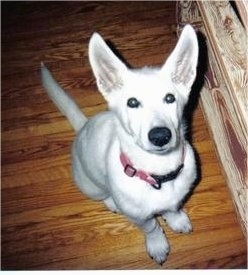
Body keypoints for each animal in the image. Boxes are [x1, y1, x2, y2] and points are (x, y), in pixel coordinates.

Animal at [41, 25, 199, 266]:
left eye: (170, 98)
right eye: (132, 103)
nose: (160, 136)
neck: (157, 173)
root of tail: (83, 125)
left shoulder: (177, 195)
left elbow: (172, 208)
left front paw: (176, 219)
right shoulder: (139, 217)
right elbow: (152, 227)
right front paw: (158, 244)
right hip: (90, 186)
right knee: (103, 195)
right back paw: (111, 201)